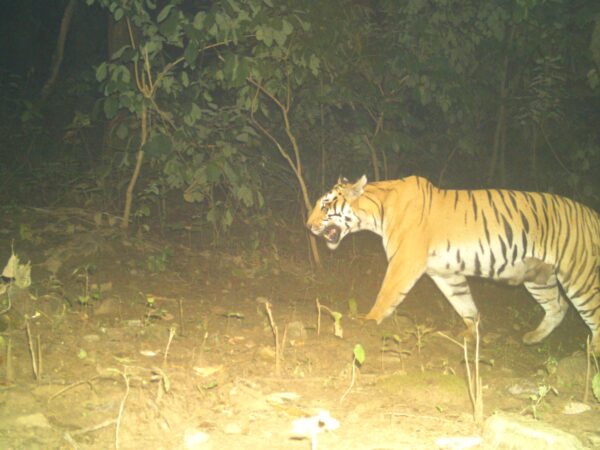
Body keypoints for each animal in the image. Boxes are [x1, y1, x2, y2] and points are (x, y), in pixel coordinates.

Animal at [310, 176, 600, 352]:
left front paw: (367, 321)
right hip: (539, 276)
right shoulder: (445, 273)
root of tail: (593, 215)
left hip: (581, 276)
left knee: (591, 314)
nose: (307, 225)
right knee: (558, 306)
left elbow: (387, 293)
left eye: (325, 205)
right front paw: (471, 336)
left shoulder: (405, 261)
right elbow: (465, 305)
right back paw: (532, 337)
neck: (377, 211)